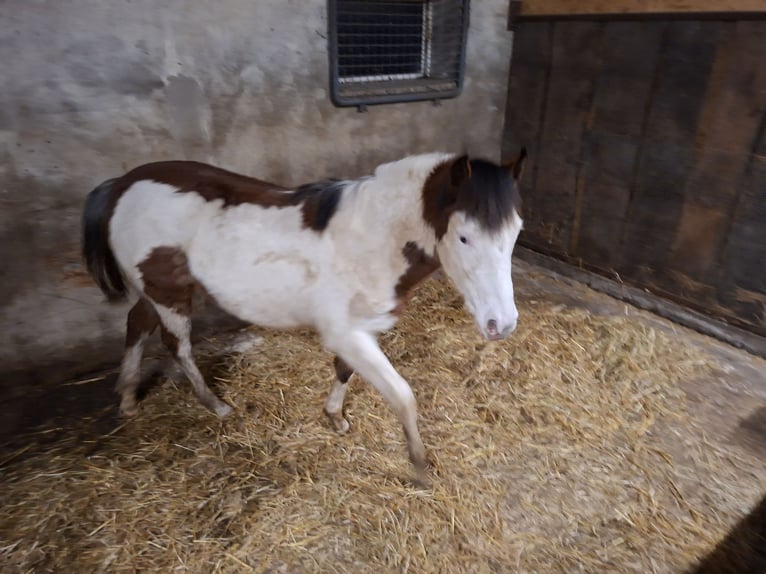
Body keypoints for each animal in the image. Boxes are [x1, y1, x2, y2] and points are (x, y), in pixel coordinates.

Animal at [82, 149, 527, 485]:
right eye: (464, 236)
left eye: (516, 231)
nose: (501, 325)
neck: (371, 239)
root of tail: (122, 184)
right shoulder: (346, 331)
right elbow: (402, 395)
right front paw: (419, 467)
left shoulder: (360, 330)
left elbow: (345, 371)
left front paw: (335, 418)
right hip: (169, 294)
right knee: (177, 345)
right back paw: (215, 405)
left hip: (154, 292)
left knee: (136, 324)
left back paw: (128, 398)